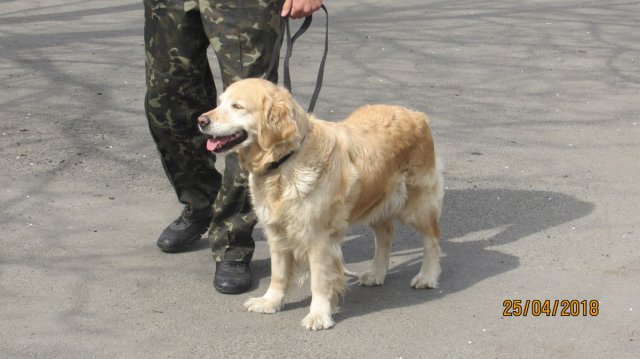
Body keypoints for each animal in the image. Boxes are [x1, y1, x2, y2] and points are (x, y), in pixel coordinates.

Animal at [198, 79, 442, 332]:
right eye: (220, 102)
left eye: (237, 106)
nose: (201, 121)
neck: (285, 162)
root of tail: (416, 114)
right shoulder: (276, 232)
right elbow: (278, 273)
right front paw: (270, 301)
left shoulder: (319, 238)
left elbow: (319, 281)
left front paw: (318, 314)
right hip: (376, 201)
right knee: (385, 236)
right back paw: (376, 273)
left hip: (418, 204)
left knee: (432, 239)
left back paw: (427, 276)